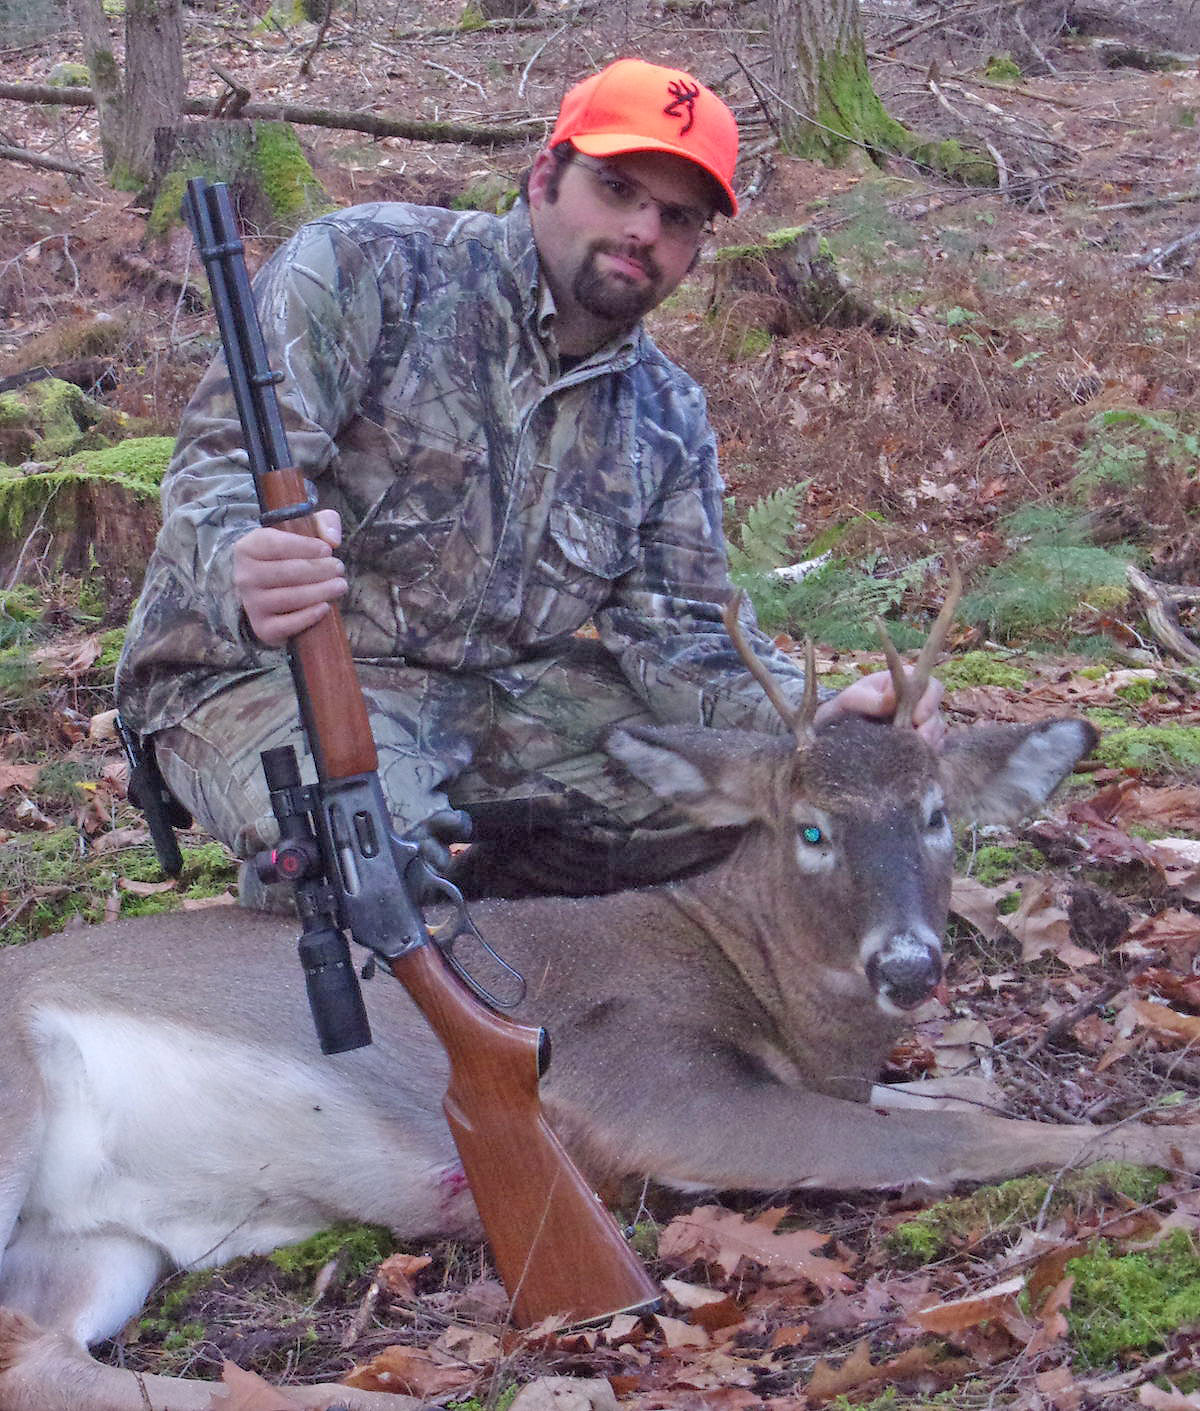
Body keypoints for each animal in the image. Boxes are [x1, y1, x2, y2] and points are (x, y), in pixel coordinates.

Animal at [2, 588, 1196, 1411]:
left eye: (939, 815)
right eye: (810, 827)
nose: (907, 965)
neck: (759, 980)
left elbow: (952, 1103)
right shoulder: (649, 1084)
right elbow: (954, 1136)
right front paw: (1164, 1141)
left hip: (98, 1246)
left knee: (41, 1358)